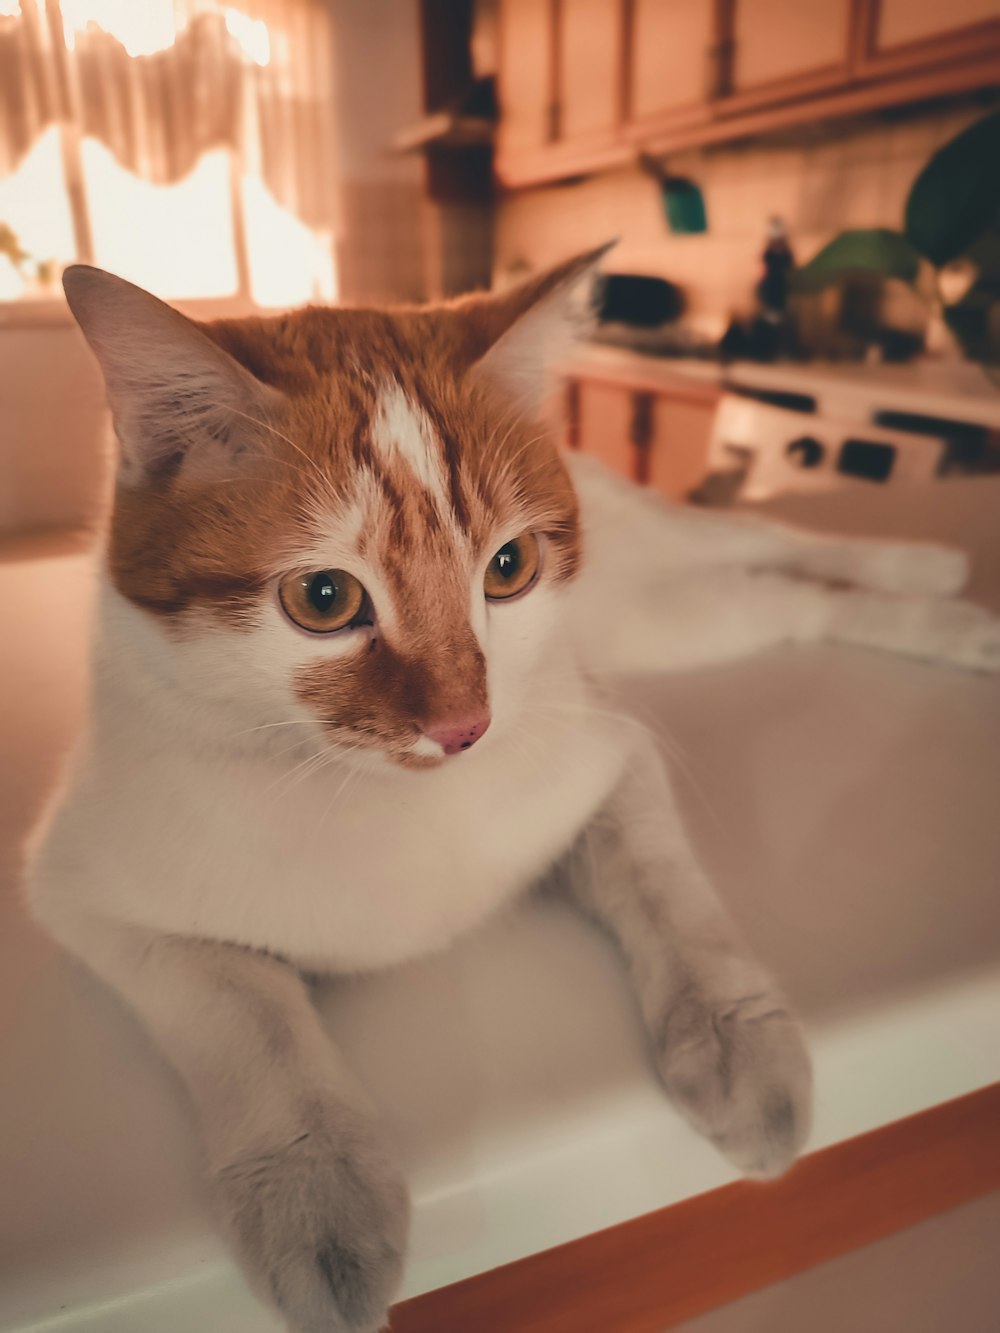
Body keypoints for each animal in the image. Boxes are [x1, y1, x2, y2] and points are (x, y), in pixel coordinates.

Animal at [27, 250, 1000, 1333]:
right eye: (323, 598)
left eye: (510, 566)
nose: (466, 726)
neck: (387, 801)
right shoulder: (85, 892)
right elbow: (242, 1009)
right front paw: (316, 1189)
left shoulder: (608, 752)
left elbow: (669, 897)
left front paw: (738, 1041)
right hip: (671, 615)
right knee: (781, 589)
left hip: (662, 606)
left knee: (777, 553)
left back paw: (931, 584)